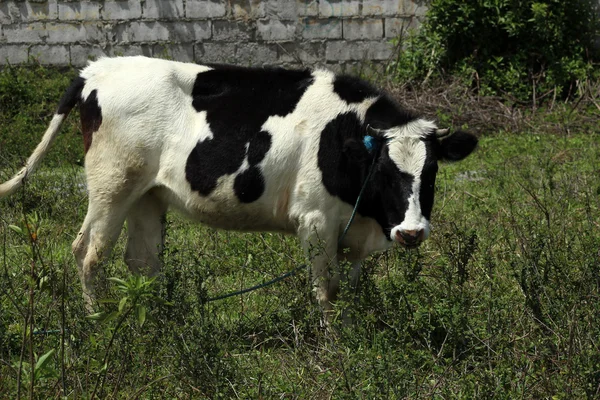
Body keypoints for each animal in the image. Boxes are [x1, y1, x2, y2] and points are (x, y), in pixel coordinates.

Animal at [0, 55, 478, 318]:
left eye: (431, 173)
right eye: (384, 172)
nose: (411, 232)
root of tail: (97, 69)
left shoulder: (354, 230)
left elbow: (352, 291)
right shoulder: (316, 221)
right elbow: (329, 290)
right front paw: (334, 351)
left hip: (146, 195)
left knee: (142, 262)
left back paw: (154, 323)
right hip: (111, 186)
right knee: (88, 253)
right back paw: (97, 323)